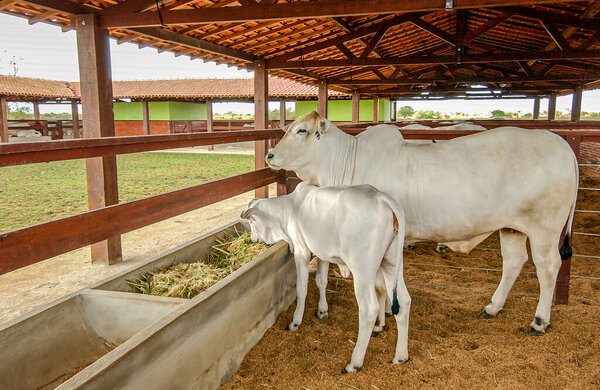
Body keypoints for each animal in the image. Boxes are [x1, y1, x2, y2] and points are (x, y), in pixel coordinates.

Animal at [241, 183, 410, 372]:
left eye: (251, 221)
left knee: (369, 309)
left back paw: (354, 363)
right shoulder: (322, 254)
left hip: (363, 270)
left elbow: (302, 289)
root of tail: (382, 198)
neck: (288, 209)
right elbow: (321, 281)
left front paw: (296, 321)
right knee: (404, 301)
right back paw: (400, 357)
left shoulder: (302, 251)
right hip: (392, 263)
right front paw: (322, 310)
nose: (253, 239)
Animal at [266, 110, 576, 336]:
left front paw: (383, 317)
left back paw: (539, 321)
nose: (269, 155)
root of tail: (562, 144)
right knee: (513, 263)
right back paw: (492, 307)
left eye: (302, 131)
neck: (347, 162)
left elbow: (381, 283)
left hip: (544, 229)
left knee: (548, 268)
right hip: (511, 227)